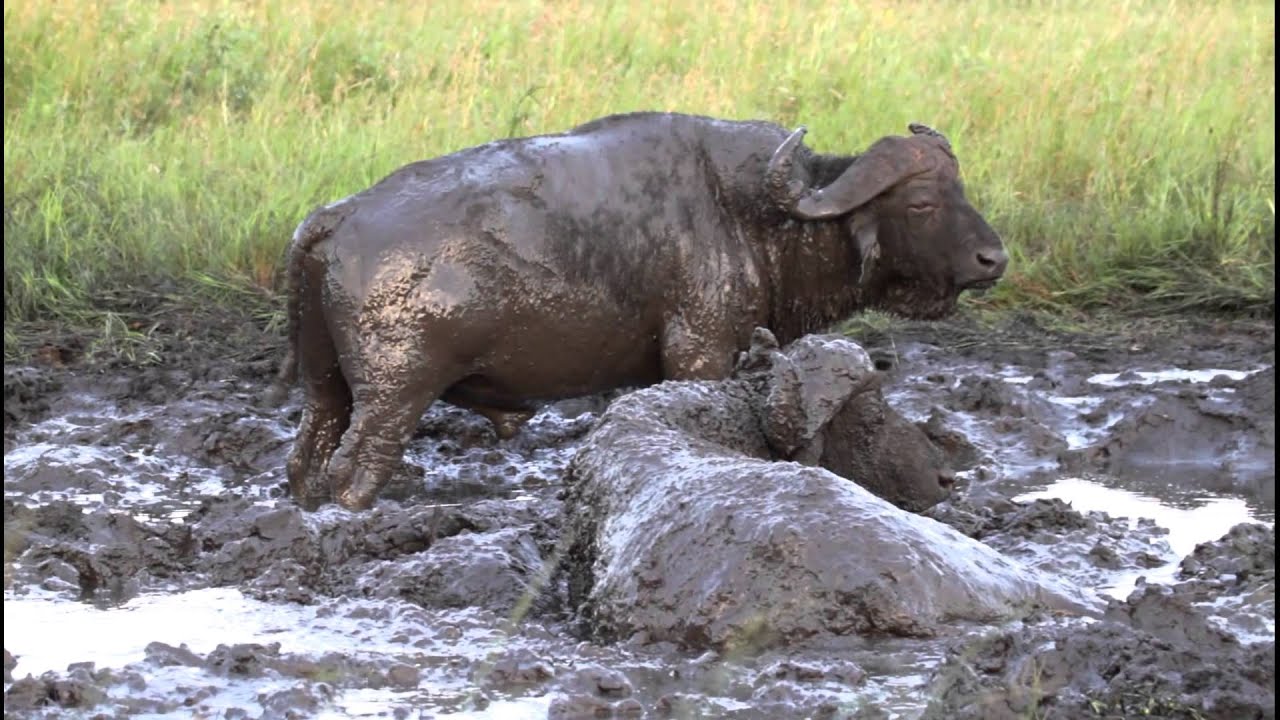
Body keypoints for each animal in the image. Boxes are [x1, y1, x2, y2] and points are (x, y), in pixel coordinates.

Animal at [275, 111, 1007, 510]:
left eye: (963, 188)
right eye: (921, 203)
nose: (992, 259)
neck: (758, 215)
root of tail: (336, 217)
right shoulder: (701, 354)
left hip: (325, 387)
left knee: (306, 460)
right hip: (393, 398)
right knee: (353, 472)